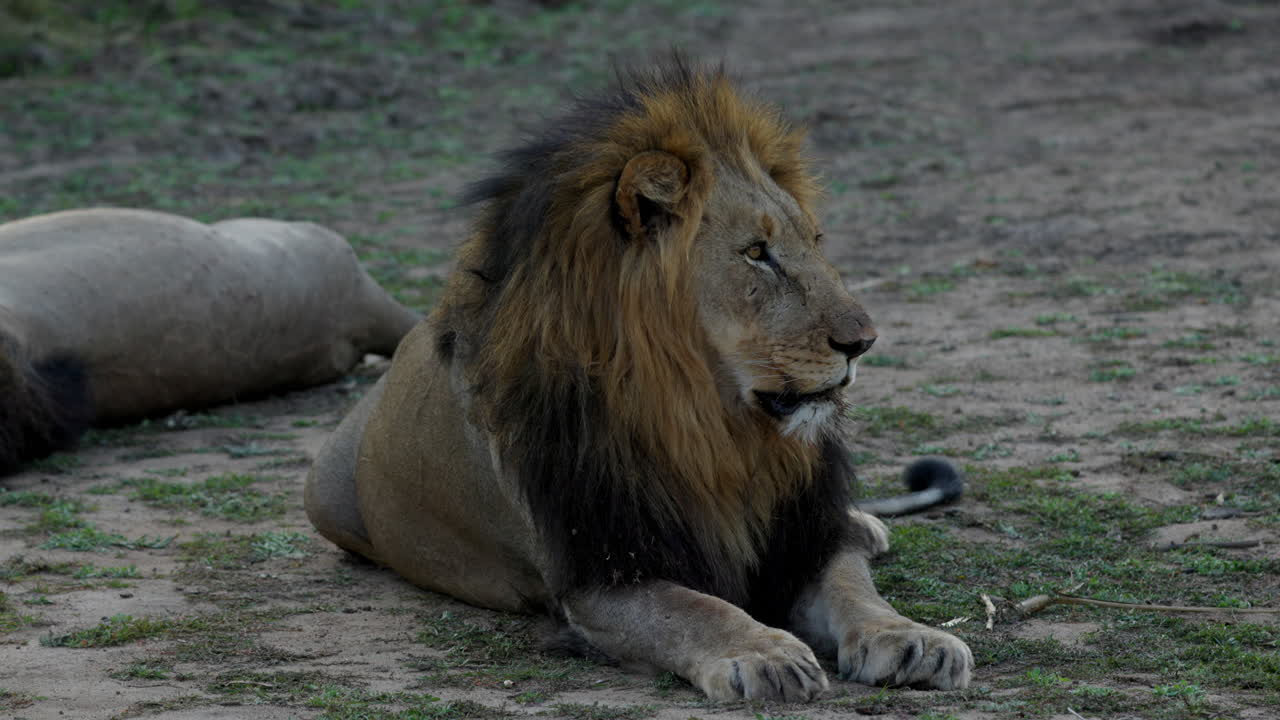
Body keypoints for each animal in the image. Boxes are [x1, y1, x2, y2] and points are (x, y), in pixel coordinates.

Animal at [305, 61, 973, 701]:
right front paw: (763, 654)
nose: (863, 342)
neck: (710, 429)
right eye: (756, 253)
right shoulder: (601, 574)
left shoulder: (800, 536)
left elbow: (852, 587)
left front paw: (912, 639)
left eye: (814, 242)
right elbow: (693, 609)